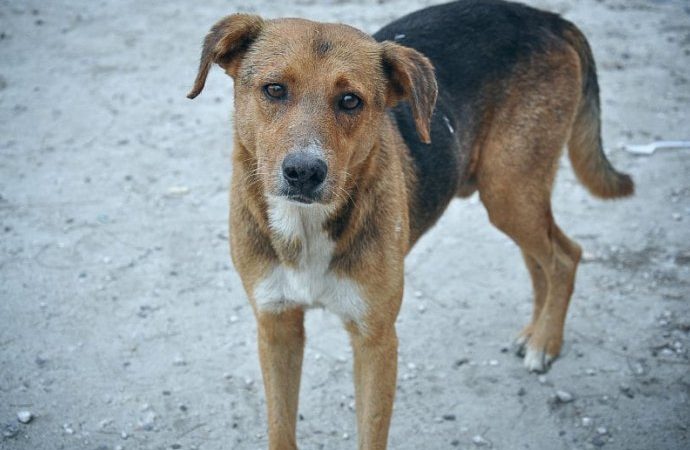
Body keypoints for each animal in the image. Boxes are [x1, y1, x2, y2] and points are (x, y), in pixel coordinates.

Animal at [185, 1, 632, 448]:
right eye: (275, 89)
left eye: (350, 100)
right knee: (543, 258)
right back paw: (534, 332)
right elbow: (281, 429)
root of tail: (545, 18)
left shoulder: (376, 339)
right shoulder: (276, 326)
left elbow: (371, 433)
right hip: (512, 195)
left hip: (510, 190)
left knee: (565, 256)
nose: (304, 173)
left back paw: (545, 342)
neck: (305, 226)